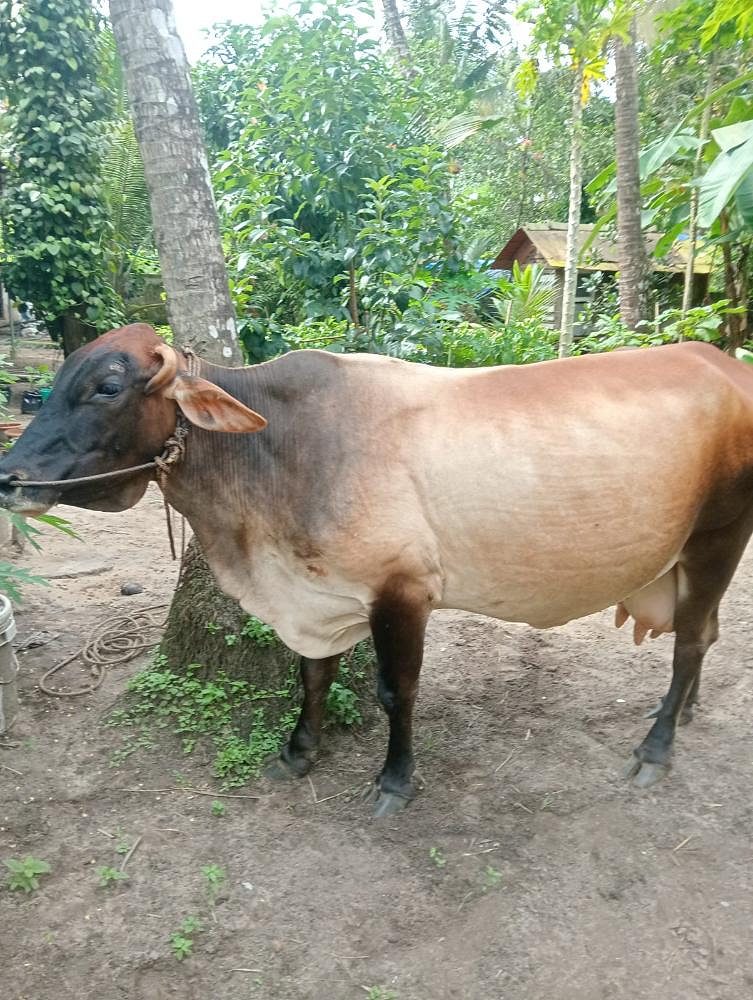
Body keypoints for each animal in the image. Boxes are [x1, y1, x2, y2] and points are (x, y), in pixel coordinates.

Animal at [1, 323, 752, 816]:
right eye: (59, 380)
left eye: (107, 386)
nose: (10, 477)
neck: (277, 451)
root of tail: (722, 361)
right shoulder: (317, 598)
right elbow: (312, 676)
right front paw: (298, 750)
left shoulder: (402, 590)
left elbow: (397, 692)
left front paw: (393, 782)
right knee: (707, 633)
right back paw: (680, 713)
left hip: (718, 535)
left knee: (691, 641)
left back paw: (655, 749)